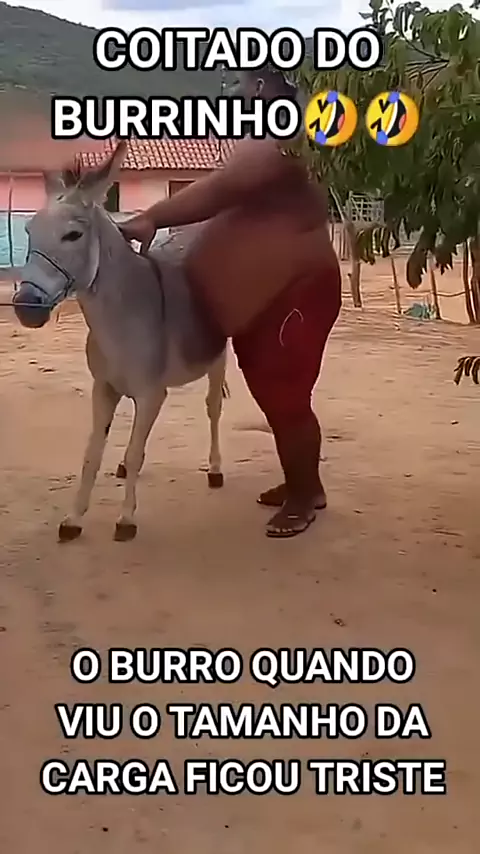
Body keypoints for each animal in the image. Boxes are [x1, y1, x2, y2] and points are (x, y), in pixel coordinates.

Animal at [13, 141, 228, 542]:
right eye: (30, 230)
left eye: (73, 235)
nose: (25, 306)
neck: (118, 320)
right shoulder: (104, 388)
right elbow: (93, 453)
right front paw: (73, 519)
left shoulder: (150, 393)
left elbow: (133, 451)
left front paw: (126, 519)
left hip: (218, 356)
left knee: (213, 408)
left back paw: (215, 468)